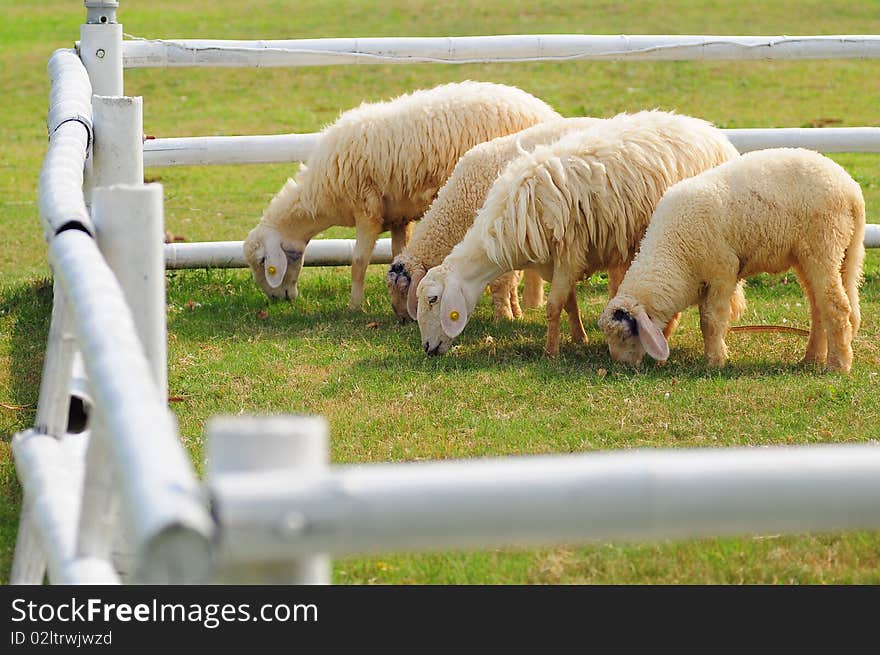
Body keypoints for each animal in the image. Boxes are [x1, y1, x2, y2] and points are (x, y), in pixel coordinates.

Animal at [242, 79, 556, 310]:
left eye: (263, 262)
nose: (276, 299)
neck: (320, 196)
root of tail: (547, 113)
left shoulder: (366, 209)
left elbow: (358, 261)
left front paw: (354, 306)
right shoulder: (398, 218)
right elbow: (396, 252)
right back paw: (533, 303)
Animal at [384, 118, 604, 326]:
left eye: (403, 288)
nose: (402, 319)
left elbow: (501, 282)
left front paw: (503, 317)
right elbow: (512, 281)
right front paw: (516, 312)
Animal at [416, 112, 740, 358]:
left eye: (433, 299)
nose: (428, 348)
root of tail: (714, 135)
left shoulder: (570, 251)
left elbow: (552, 306)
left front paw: (551, 352)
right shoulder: (554, 261)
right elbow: (568, 302)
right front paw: (578, 337)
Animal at [596, 149, 864, 374]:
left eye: (624, 335)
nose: (620, 366)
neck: (674, 252)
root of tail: (852, 190)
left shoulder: (722, 271)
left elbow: (710, 321)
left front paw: (715, 361)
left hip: (824, 245)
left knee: (837, 307)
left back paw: (837, 365)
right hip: (814, 255)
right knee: (819, 307)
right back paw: (812, 358)